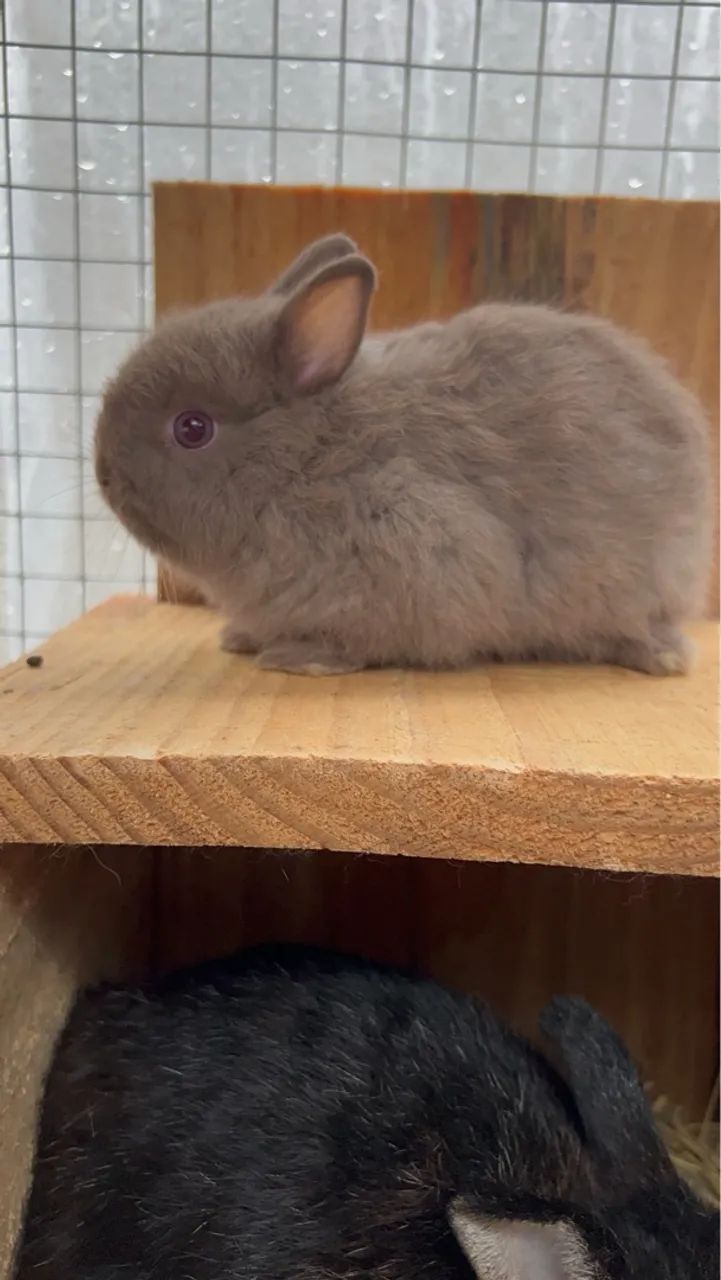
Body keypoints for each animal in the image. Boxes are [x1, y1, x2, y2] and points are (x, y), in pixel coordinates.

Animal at [94, 232, 712, 676]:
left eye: (192, 428)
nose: (104, 476)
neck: (306, 460)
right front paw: (240, 639)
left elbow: (357, 641)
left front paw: (299, 658)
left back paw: (661, 658)